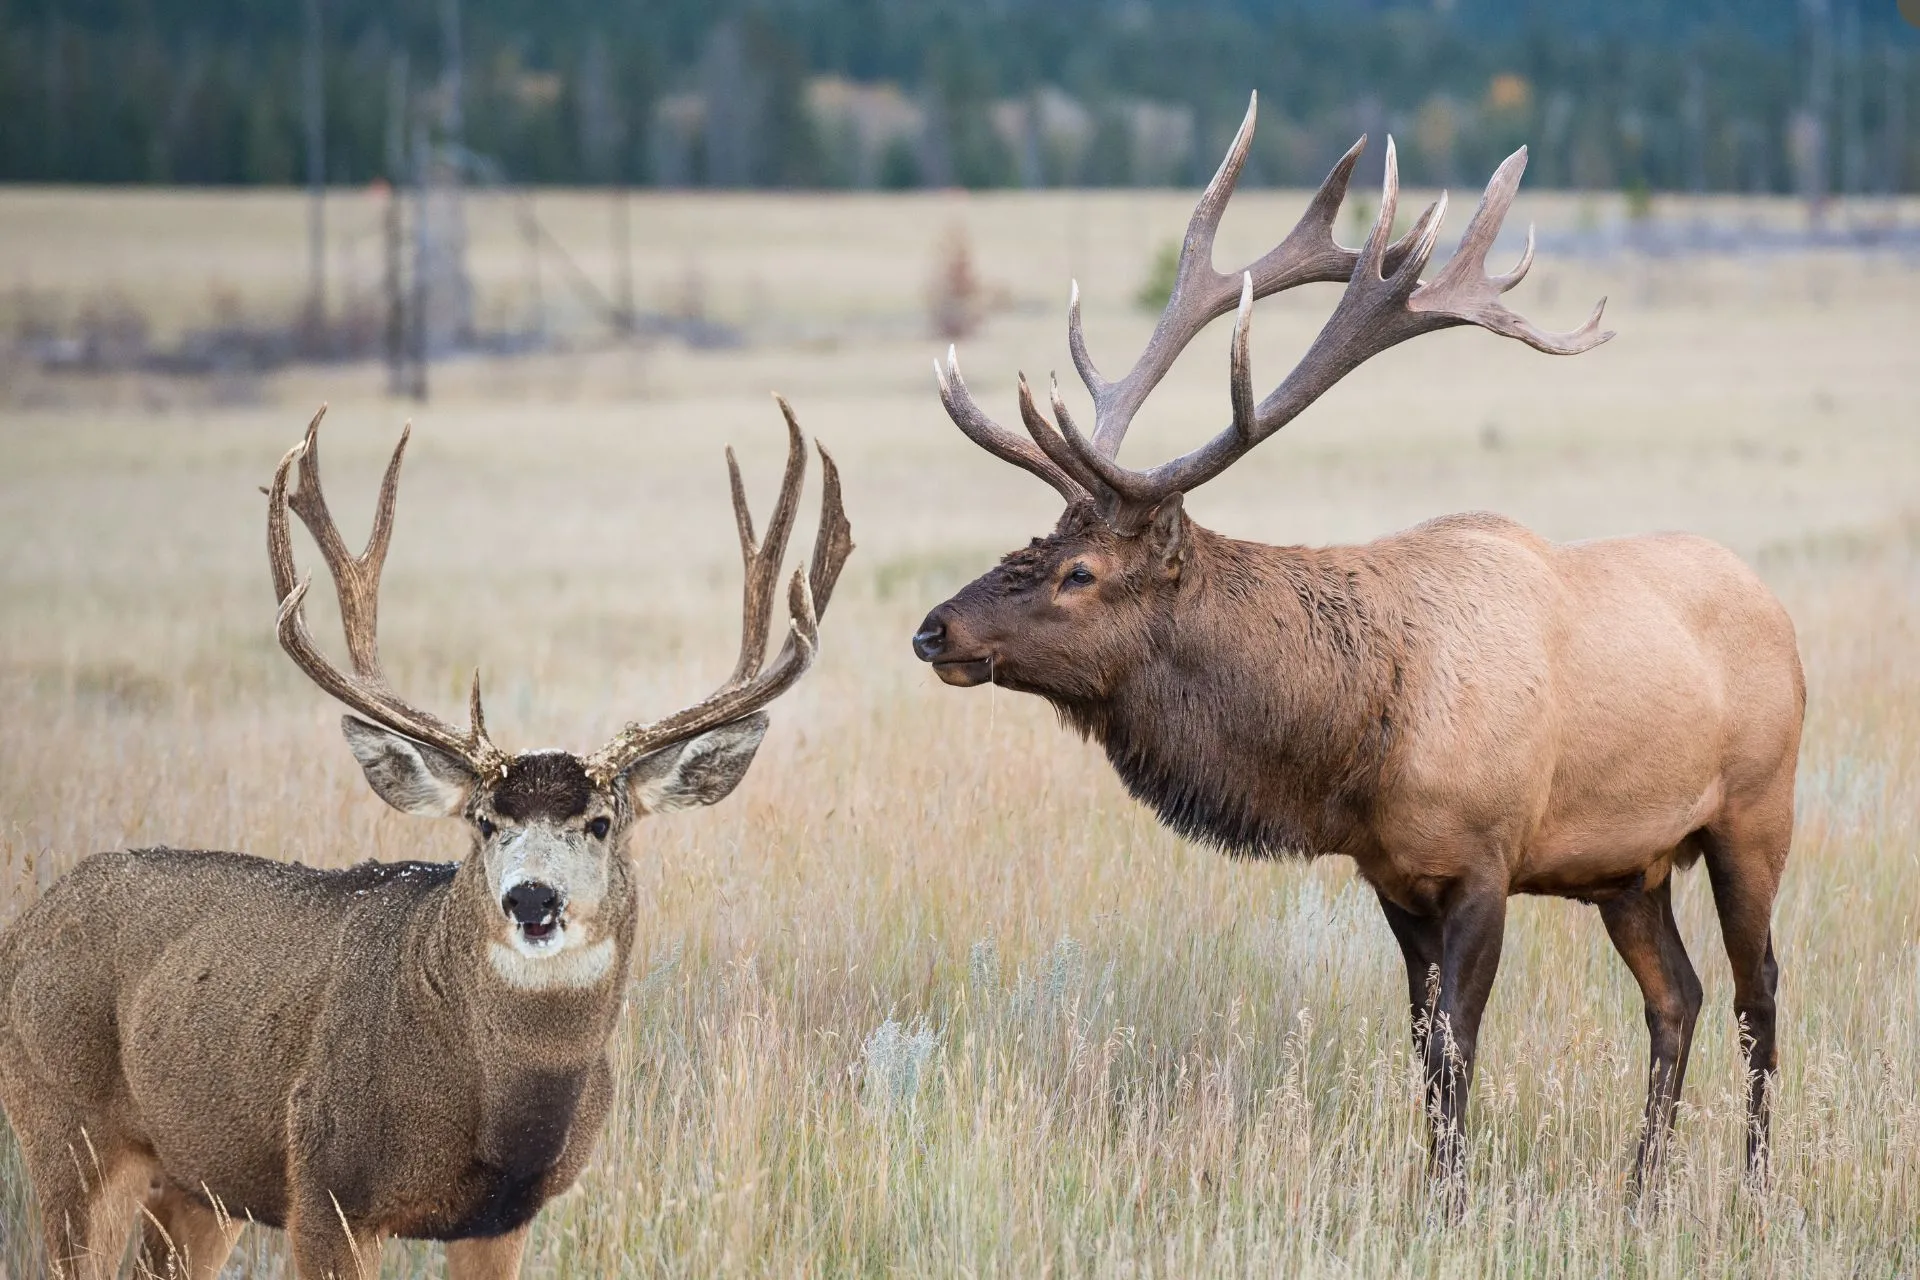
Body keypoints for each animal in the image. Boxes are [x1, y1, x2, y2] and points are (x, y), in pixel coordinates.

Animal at [0, 399, 852, 1279]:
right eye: (483, 822)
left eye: (602, 821)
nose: (533, 899)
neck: (497, 1112)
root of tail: (28, 922)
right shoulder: (326, 1185)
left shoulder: (504, 1218)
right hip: (66, 1128)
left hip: (197, 1181)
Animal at [910, 94, 1803, 1191]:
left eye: (1080, 572)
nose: (934, 627)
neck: (1364, 738)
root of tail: (1773, 603)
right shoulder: (1392, 878)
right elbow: (1421, 1052)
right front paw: (1438, 1186)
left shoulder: (1485, 860)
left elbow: (1457, 1050)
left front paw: (1452, 1200)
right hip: (1628, 865)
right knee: (1677, 993)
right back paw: (1640, 1190)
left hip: (1755, 811)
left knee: (1759, 992)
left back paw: (1755, 1183)